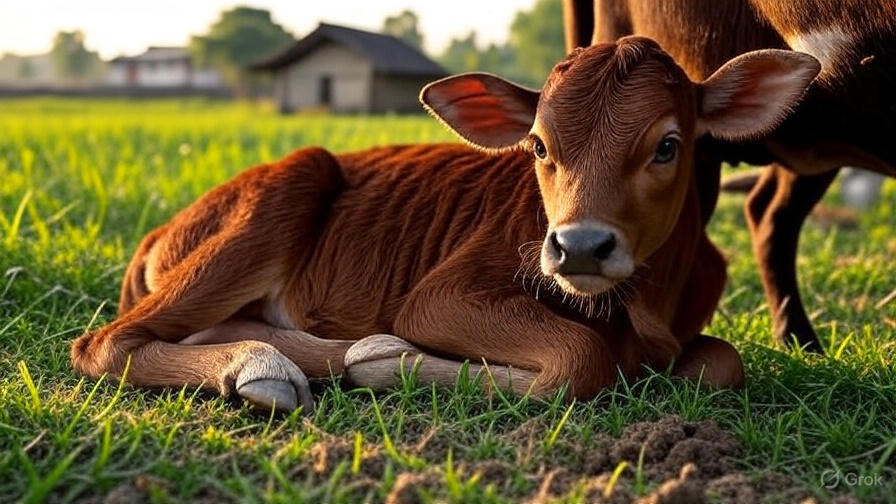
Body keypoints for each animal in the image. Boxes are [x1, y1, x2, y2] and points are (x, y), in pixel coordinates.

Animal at [70, 37, 819, 412]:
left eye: (668, 145)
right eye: (539, 145)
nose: (579, 246)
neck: (644, 313)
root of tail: (162, 229)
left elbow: (722, 363)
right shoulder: (440, 296)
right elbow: (580, 358)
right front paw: (387, 362)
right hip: (291, 184)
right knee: (104, 342)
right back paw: (277, 366)